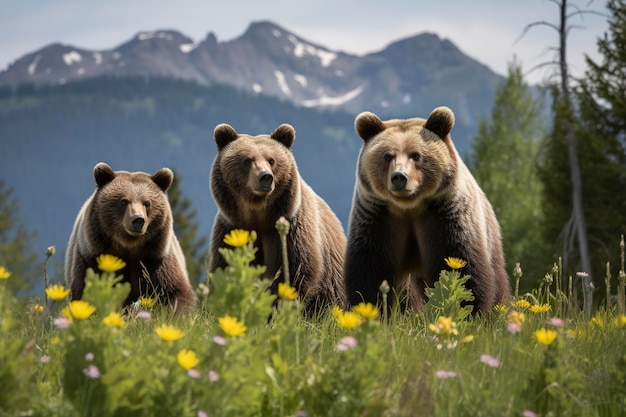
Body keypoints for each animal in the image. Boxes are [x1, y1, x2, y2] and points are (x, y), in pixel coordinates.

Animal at [208, 123, 346, 316]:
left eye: (271, 160)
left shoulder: (289, 231)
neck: (258, 217)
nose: (265, 177)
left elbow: (292, 275)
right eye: (247, 160)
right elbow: (225, 268)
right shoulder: (232, 229)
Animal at [344, 105, 510, 314]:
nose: (399, 177)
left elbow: (461, 265)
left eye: (416, 155)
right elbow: (370, 270)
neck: (409, 207)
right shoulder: (379, 218)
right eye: (387, 156)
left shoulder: (445, 217)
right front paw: (370, 308)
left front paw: (469, 310)